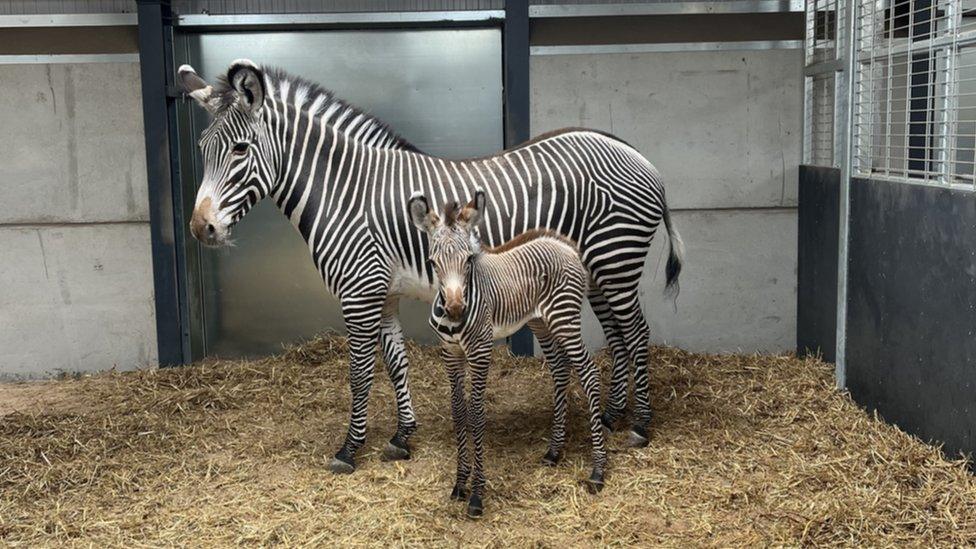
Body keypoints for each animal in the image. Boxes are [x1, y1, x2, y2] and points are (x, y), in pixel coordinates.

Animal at [179, 58, 684, 470]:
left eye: (240, 149)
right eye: (201, 148)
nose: (201, 229)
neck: (343, 192)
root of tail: (641, 157)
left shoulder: (359, 291)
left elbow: (359, 371)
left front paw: (350, 448)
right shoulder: (382, 292)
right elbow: (395, 362)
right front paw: (402, 435)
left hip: (615, 259)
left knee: (636, 332)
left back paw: (640, 424)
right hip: (596, 270)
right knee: (617, 336)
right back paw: (613, 414)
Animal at [408, 191, 608, 516]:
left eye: (468, 260)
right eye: (432, 262)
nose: (455, 310)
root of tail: (566, 245)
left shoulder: (480, 350)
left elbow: (476, 414)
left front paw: (477, 494)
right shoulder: (450, 354)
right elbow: (457, 411)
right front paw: (460, 483)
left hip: (564, 319)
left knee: (589, 373)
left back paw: (598, 470)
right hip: (541, 322)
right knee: (560, 370)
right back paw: (554, 450)